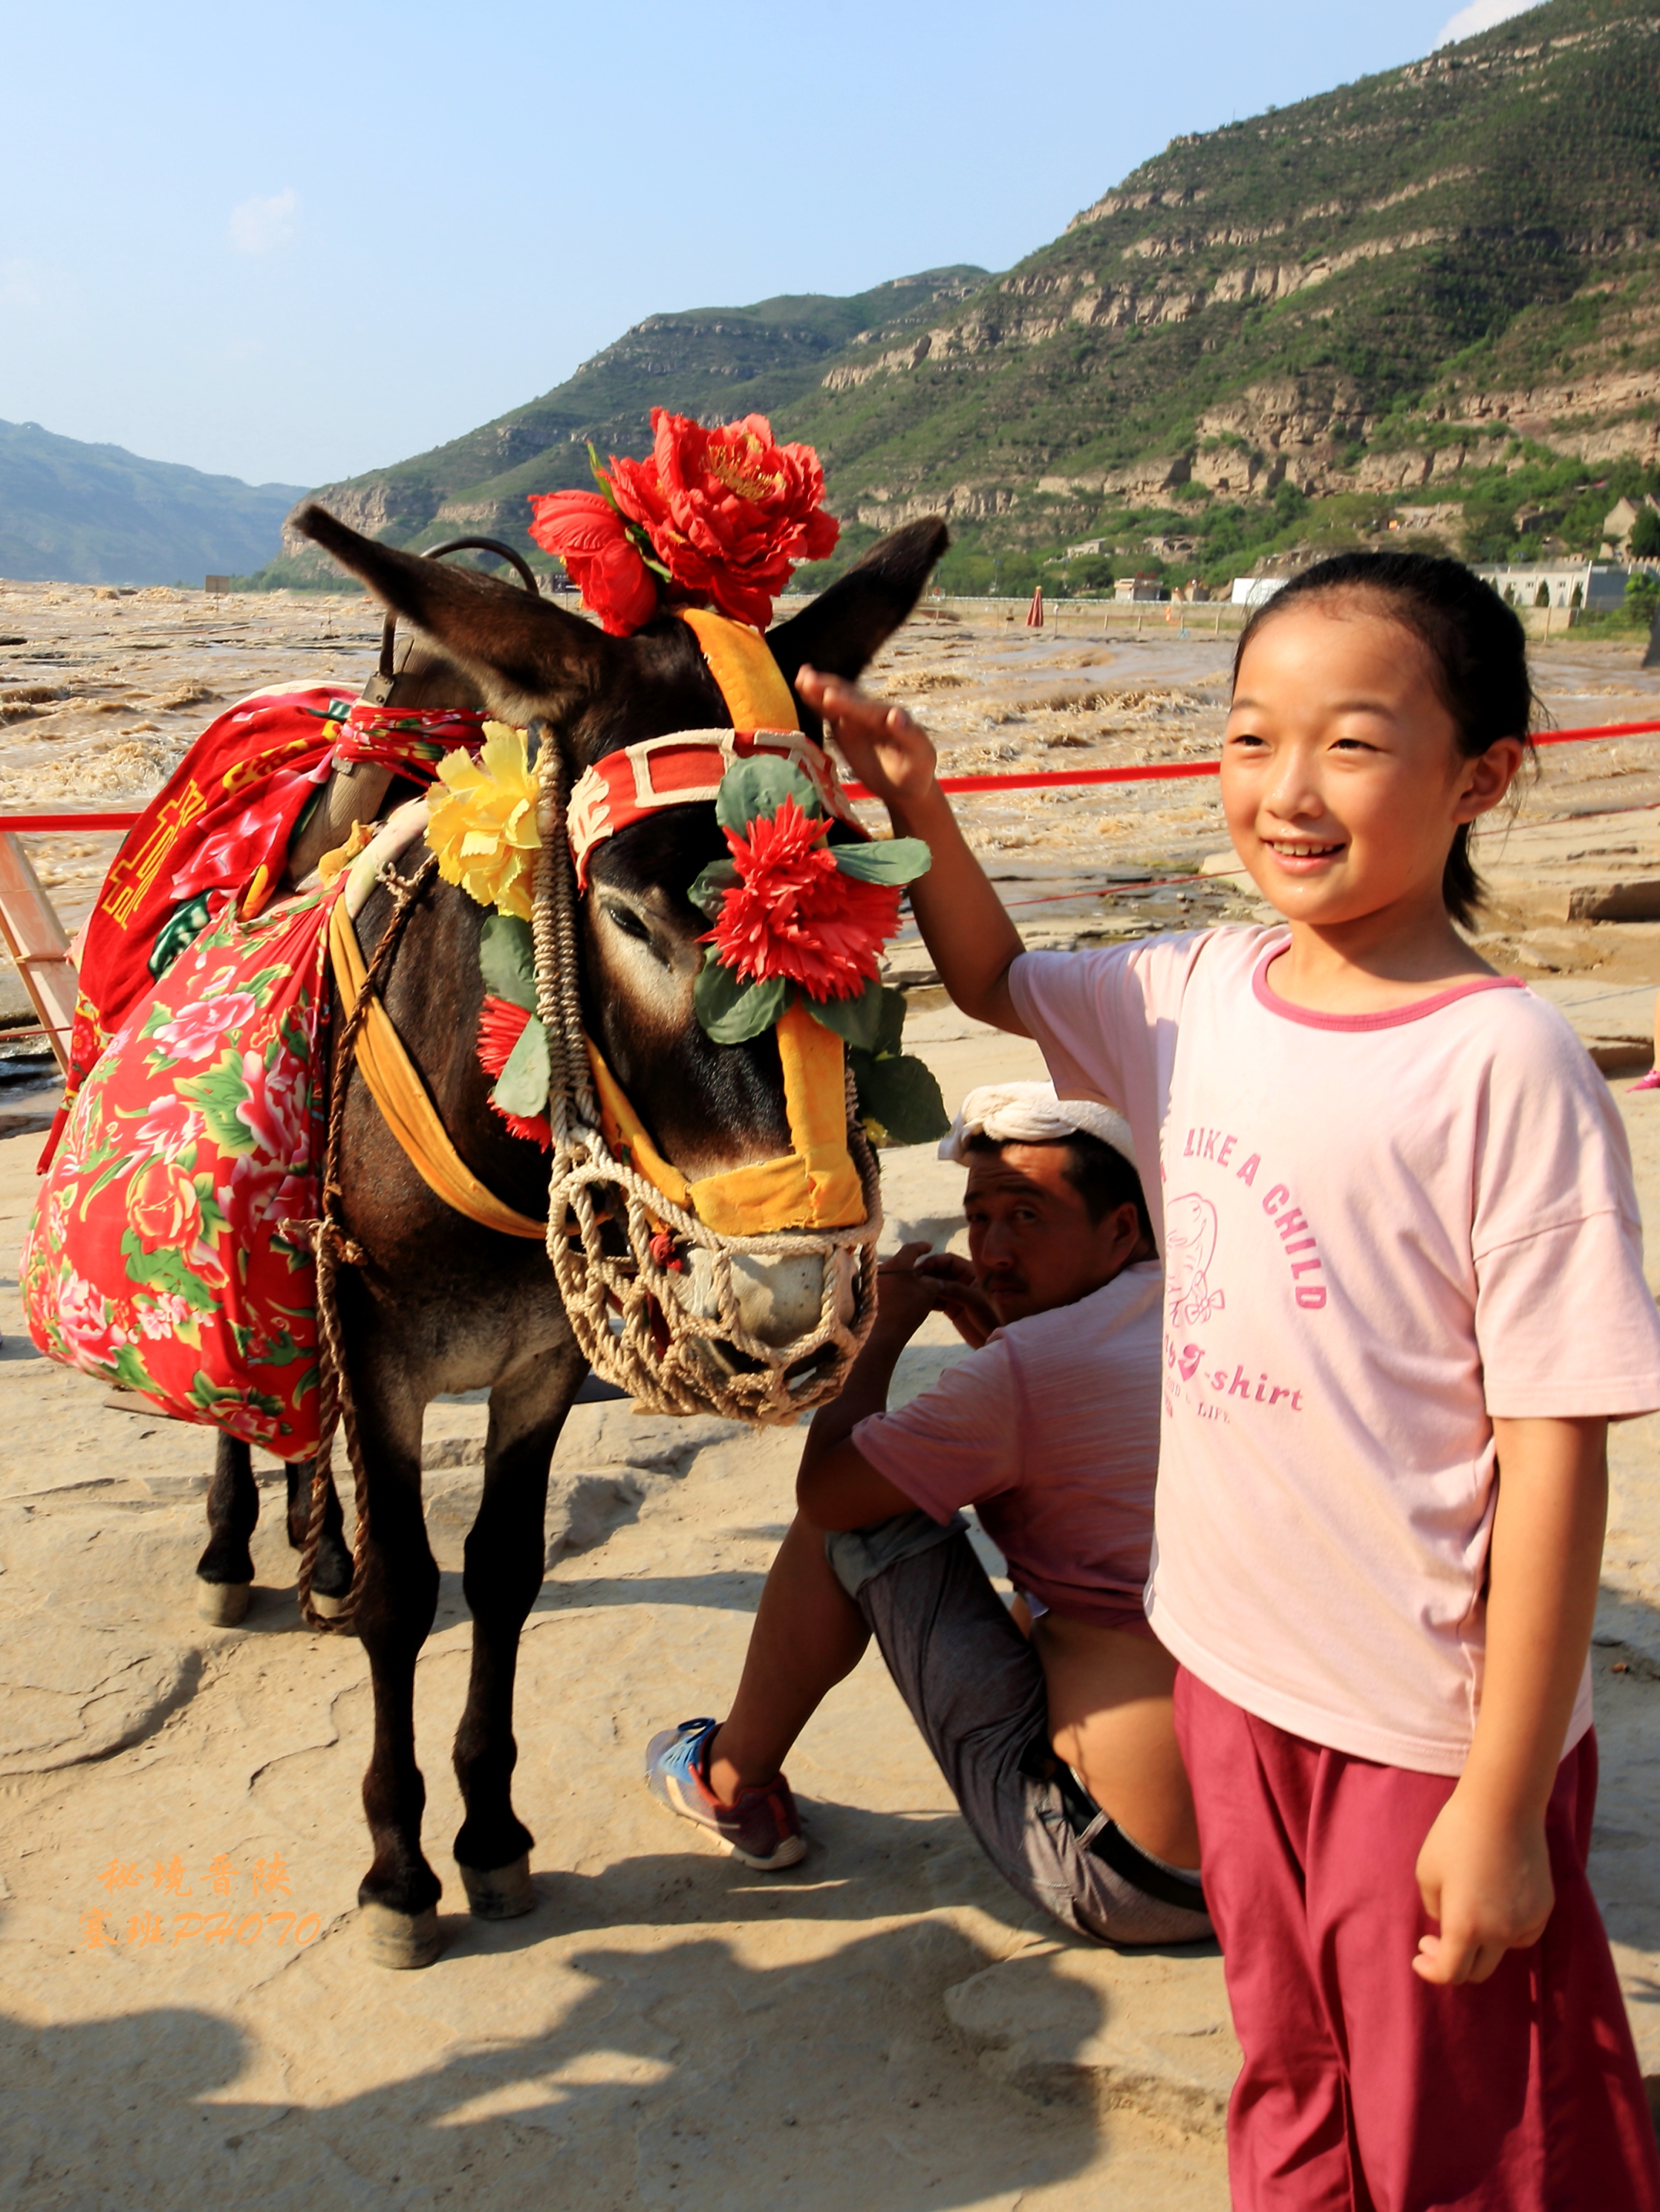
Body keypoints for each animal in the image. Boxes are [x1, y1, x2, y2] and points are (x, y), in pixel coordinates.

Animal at [180, 501, 947, 1966]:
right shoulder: (381, 1353)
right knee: (242, 1398)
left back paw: (310, 1549)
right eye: (635, 915)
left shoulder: (539, 1367)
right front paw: (397, 1869)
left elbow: (504, 1572)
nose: (787, 1290)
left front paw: (490, 1833)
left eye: (862, 904)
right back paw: (233, 1546)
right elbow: (408, 1589)